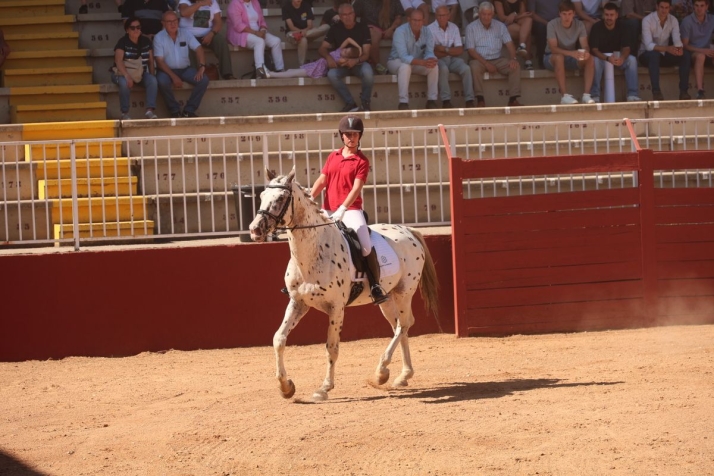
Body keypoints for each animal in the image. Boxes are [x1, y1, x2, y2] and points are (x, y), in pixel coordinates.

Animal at [249, 168, 439, 401]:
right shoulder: (297, 302)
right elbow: (279, 338)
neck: (313, 252)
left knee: (403, 325)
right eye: (261, 196)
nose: (255, 229)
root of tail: (408, 230)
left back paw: (381, 372)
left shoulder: (336, 308)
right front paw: (286, 387)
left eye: (281, 198)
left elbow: (332, 347)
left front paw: (324, 388)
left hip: (404, 292)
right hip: (387, 298)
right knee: (399, 326)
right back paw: (402, 376)